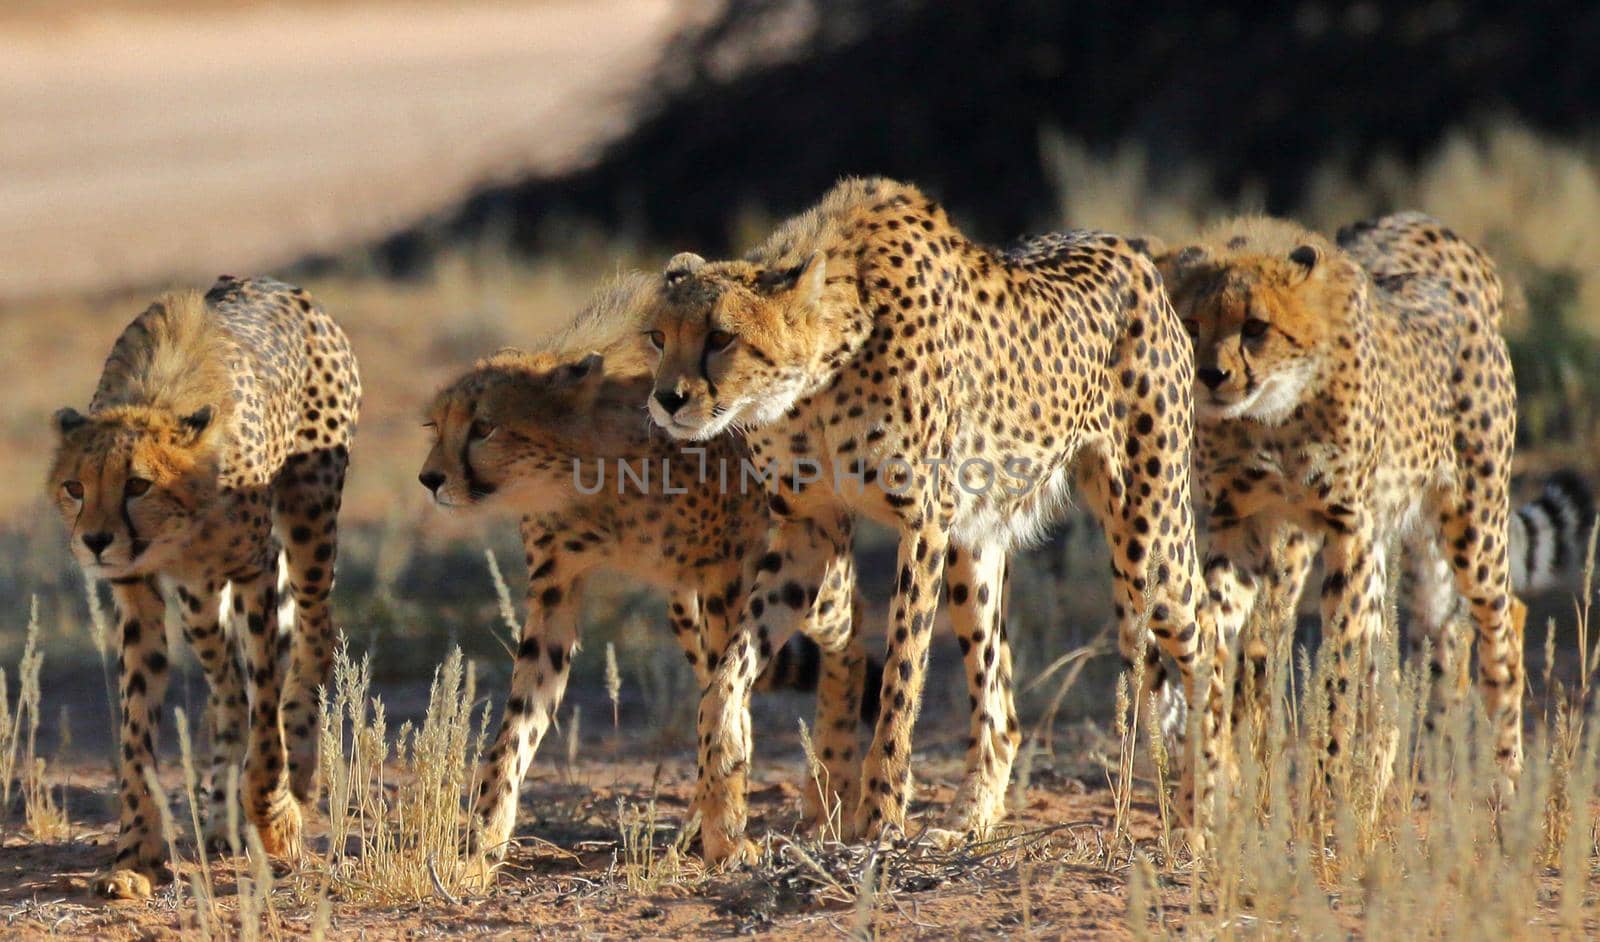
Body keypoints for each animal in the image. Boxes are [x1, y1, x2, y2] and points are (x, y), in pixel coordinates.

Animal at [48, 276, 358, 895]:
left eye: (137, 485)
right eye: (75, 487)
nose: (94, 541)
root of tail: (280, 284)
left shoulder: (256, 571)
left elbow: (266, 715)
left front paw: (276, 817)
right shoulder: (137, 591)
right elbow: (137, 732)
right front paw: (133, 859)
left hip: (309, 523)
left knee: (314, 634)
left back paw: (300, 768)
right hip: (197, 603)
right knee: (229, 692)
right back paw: (219, 820)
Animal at [416, 271, 876, 857]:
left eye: (483, 428)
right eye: (437, 427)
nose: (430, 479)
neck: (585, 470)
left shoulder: (725, 573)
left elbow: (728, 697)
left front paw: (728, 830)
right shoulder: (556, 587)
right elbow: (521, 720)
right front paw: (481, 843)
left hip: (800, 571)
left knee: (850, 632)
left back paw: (833, 789)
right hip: (683, 602)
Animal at [643, 175, 1216, 857]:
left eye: (721, 337)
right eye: (658, 337)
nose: (666, 399)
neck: (820, 374)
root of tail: (1128, 247)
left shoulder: (923, 523)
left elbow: (900, 678)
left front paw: (880, 820)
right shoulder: (811, 527)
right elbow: (725, 676)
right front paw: (725, 818)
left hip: (1147, 535)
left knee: (1208, 640)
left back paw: (1203, 820)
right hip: (976, 549)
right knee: (1002, 709)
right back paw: (969, 823)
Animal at [1158, 212, 1529, 777]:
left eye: (1255, 327)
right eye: (1193, 325)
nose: (1212, 376)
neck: (1272, 416)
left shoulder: (1345, 527)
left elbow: (1338, 667)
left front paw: (1330, 780)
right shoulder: (1239, 524)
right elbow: (1216, 626)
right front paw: (1213, 757)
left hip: (1473, 525)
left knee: (1503, 626)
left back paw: (1505, 775)